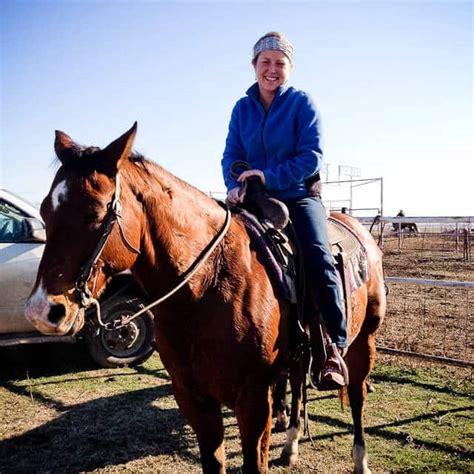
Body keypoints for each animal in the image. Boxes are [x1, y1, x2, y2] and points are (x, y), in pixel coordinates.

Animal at [25, 124, 386, 472]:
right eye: (45, 211)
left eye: (95, 212)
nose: (42, 310)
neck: (205, 289)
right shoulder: (194, 399)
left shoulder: (254, 401)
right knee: (299, 386)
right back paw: (292, 444)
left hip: (362, 341)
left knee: (356, 397)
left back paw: (360, 460)